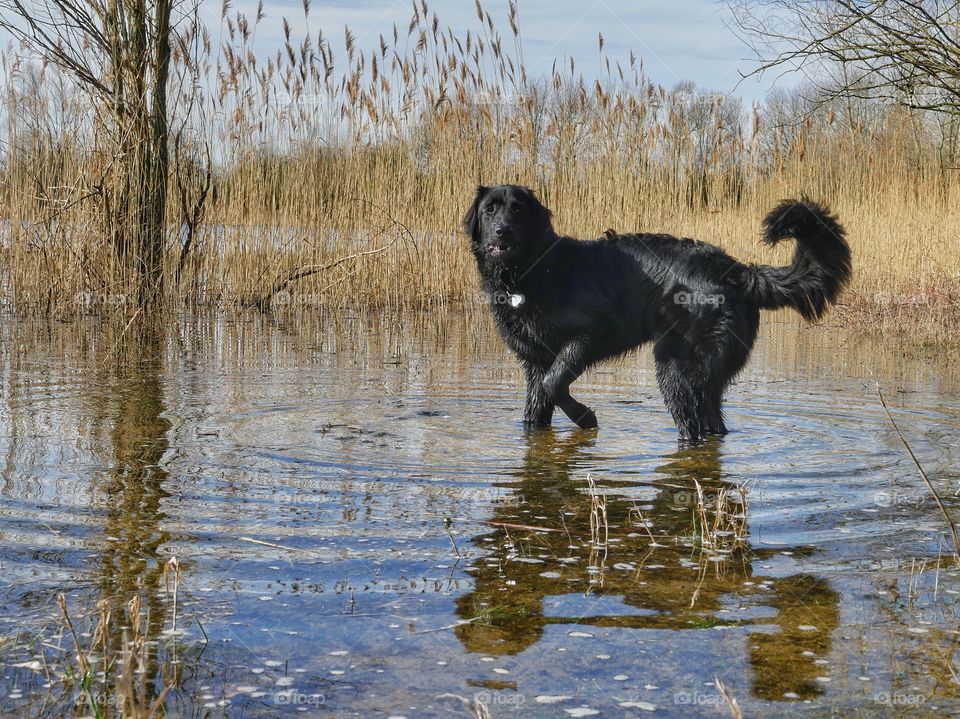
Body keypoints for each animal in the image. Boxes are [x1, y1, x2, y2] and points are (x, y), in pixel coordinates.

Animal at [462, 184, 852, 444]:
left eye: (518, 210)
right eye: (490, 210)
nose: (502, 231)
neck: (530, 271)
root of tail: (739, 271)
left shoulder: (591, 334)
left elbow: (554, 383)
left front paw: (586, 418)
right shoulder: (534, 359)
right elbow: (535, 408)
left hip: (675, 367)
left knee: (691, 428)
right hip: (707, 377)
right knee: (712, 423)